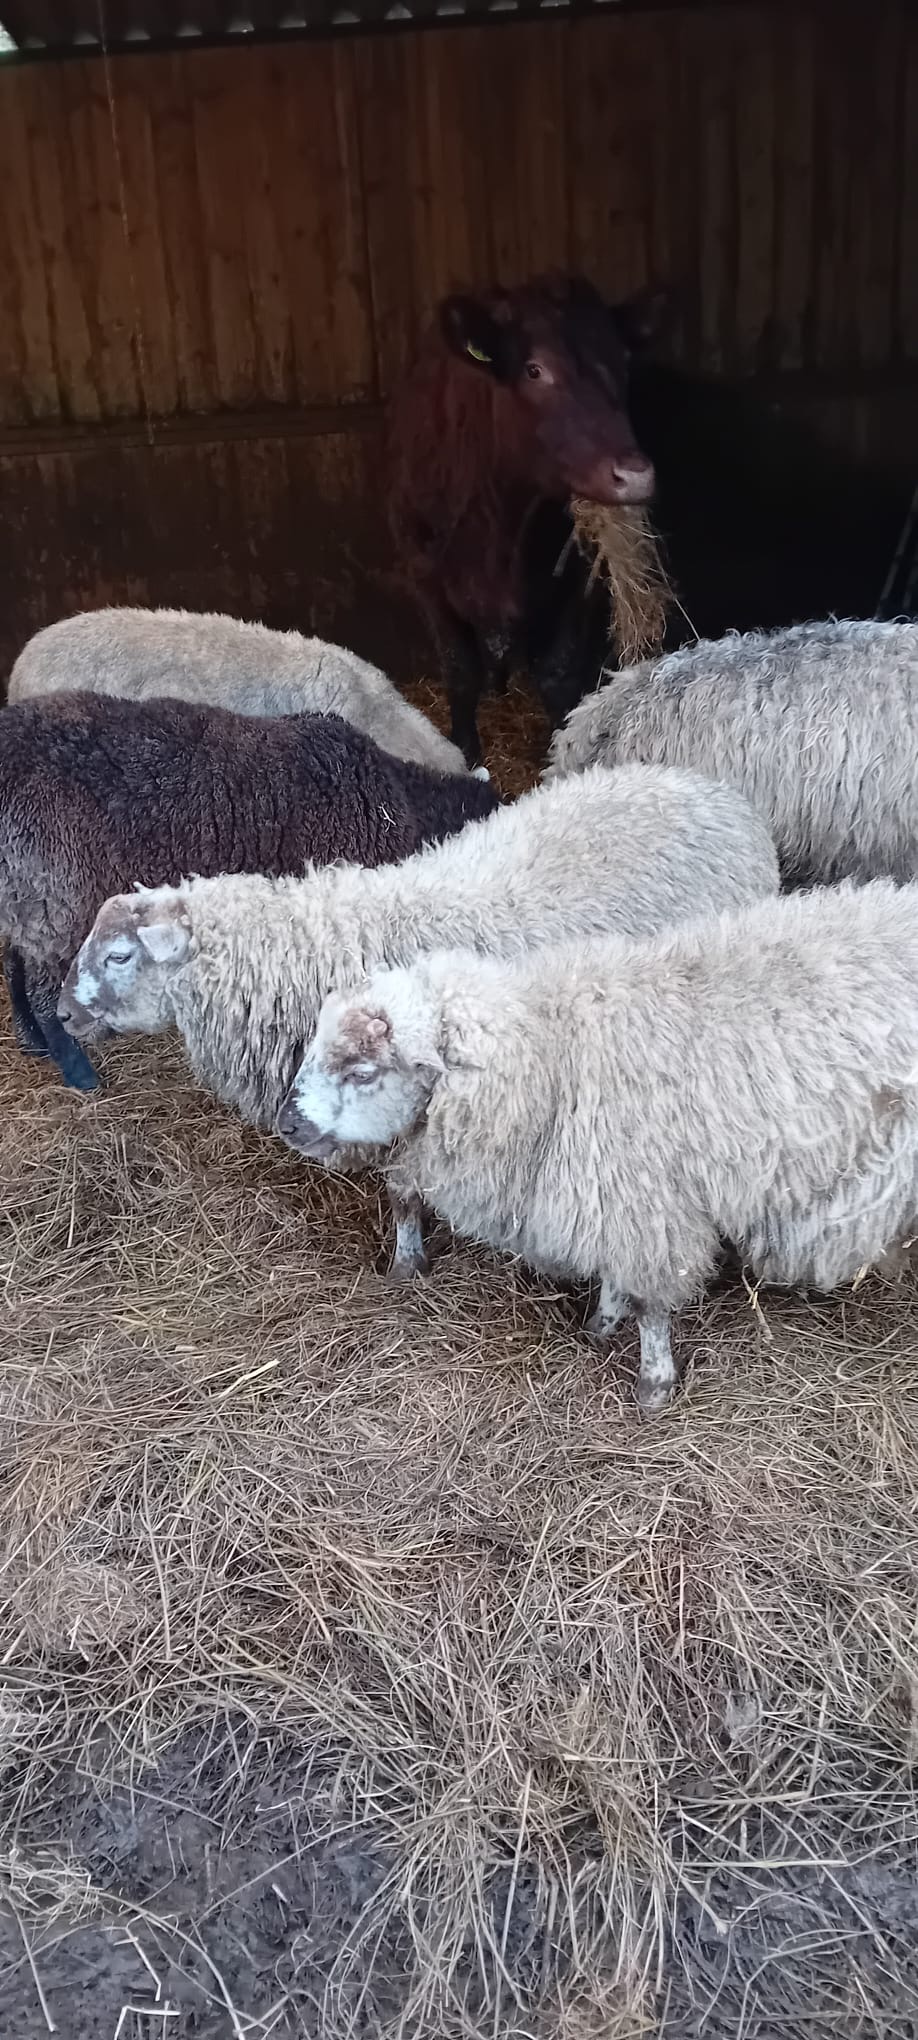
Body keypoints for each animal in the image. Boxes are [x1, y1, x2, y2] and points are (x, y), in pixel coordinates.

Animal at [0, 691, 496, 1091]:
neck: (403, 808)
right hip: (58, 901)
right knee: (44, 994)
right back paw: (77, 1071)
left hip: (25, 903)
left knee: (14, 969)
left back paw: (33, 1043)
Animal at [58, 763, 780, 1270]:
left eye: (119, 954)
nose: (62, 1015)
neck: (307, 949)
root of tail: (716, 793)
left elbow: (404, 1191)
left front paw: (407, 1261)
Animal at [276, 879, 918, 1411]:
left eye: (362, 1071)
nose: (286, 1124)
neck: (551, 1056)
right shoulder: (608, 1191)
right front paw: (603, 1321)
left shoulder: (645, 1203)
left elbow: (652, 1303)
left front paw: (653, 1383)